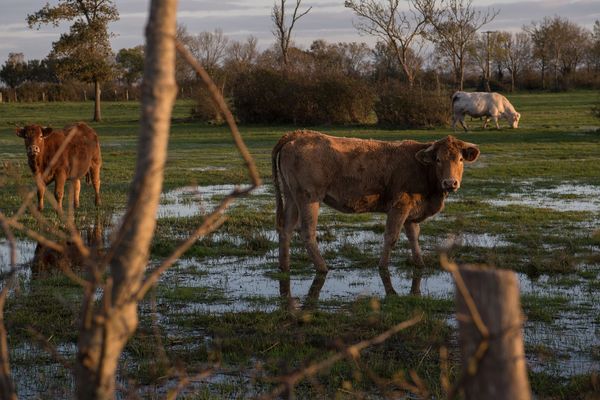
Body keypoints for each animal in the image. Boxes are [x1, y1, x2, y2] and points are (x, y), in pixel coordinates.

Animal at [274, 131, 480, 290]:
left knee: (286, 230)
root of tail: (298, 134)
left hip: (291, 197)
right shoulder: (400, 206)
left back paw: (284, 266)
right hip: (309, 198)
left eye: (460, 159)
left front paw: (419, 263)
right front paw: (383, 266)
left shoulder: (411, 212)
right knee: (307, 233)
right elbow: (391, 236)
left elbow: (413, 237)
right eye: (437, 159)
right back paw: (322, 268)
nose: (450, 183)